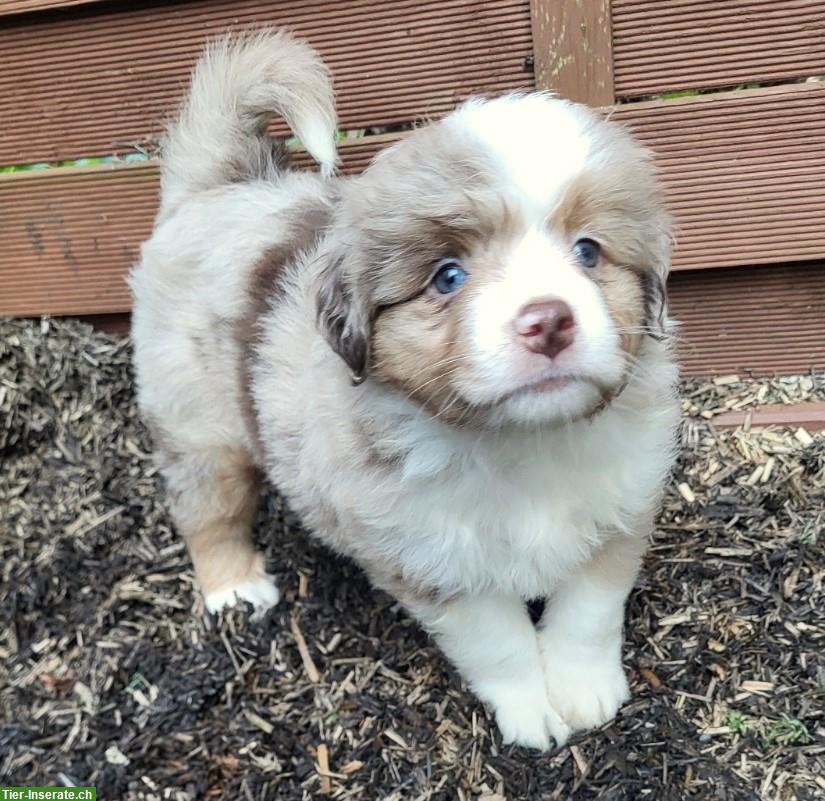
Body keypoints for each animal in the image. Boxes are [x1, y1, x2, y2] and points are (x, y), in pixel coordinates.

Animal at [132, 28, 680, 748]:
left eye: (588, 251)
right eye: (447, 276)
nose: (548, 320)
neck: (519, 445)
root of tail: (216, 187)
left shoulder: (623, 507)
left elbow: (589, 610)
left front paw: (584, 691)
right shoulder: (427, 561)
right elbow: (499, 641)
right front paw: (531, 713)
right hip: (198, 425)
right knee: (206, 507)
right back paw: (234, 587)